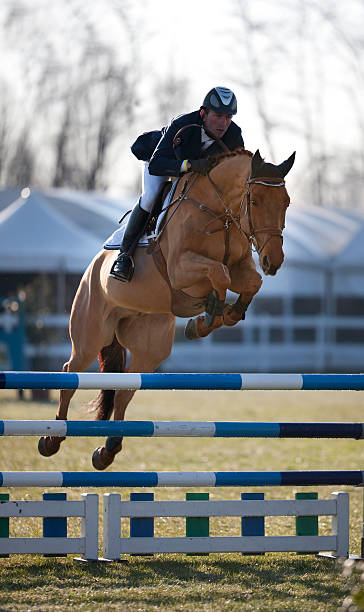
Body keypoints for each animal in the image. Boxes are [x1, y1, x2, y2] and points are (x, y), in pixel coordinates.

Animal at [39, 147, 296, 468]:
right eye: (255, 200)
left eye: (286, 202)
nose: (274, 261)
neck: (221, 212)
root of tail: (92, 268)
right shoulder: (180, 269)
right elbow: (219, 275)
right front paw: (209, 314)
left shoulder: (241, 267)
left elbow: (251, 282)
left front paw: (216, 318)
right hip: (90, 334)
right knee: (69, 375)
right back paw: (51, 440)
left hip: (150, 346)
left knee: (124, 390)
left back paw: (107, 451)